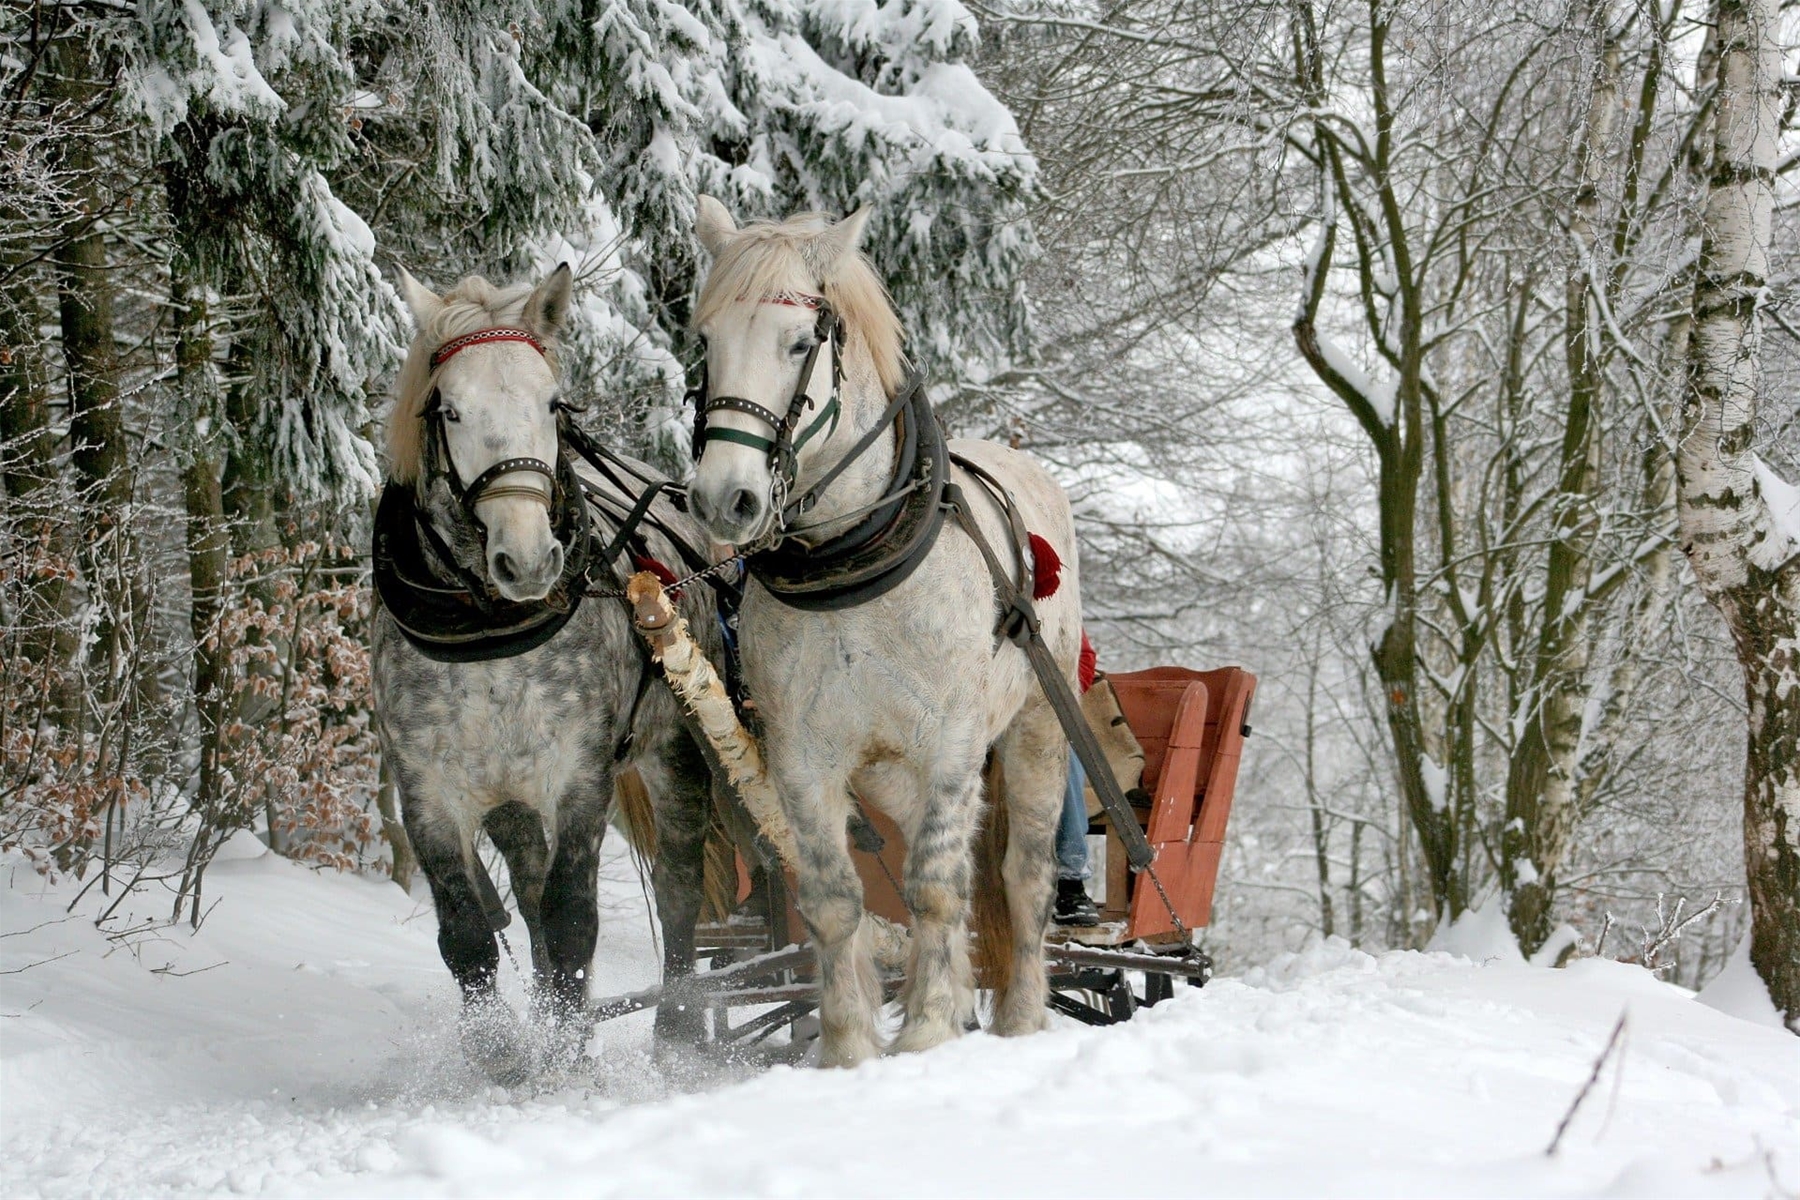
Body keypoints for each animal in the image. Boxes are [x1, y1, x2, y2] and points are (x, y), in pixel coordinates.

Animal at [684, 199, 1080, 1072]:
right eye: (706, 341)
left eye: (800, 343)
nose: (725, 499)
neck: (852, 559)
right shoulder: (802, 756)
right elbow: (836, 899)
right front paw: (849, 1046)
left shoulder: (953, 742)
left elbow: (934, 885)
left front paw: (928, 1029)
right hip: (891, 770)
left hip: (1035, 728)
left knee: (1021, 874)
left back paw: (1020, 1015)